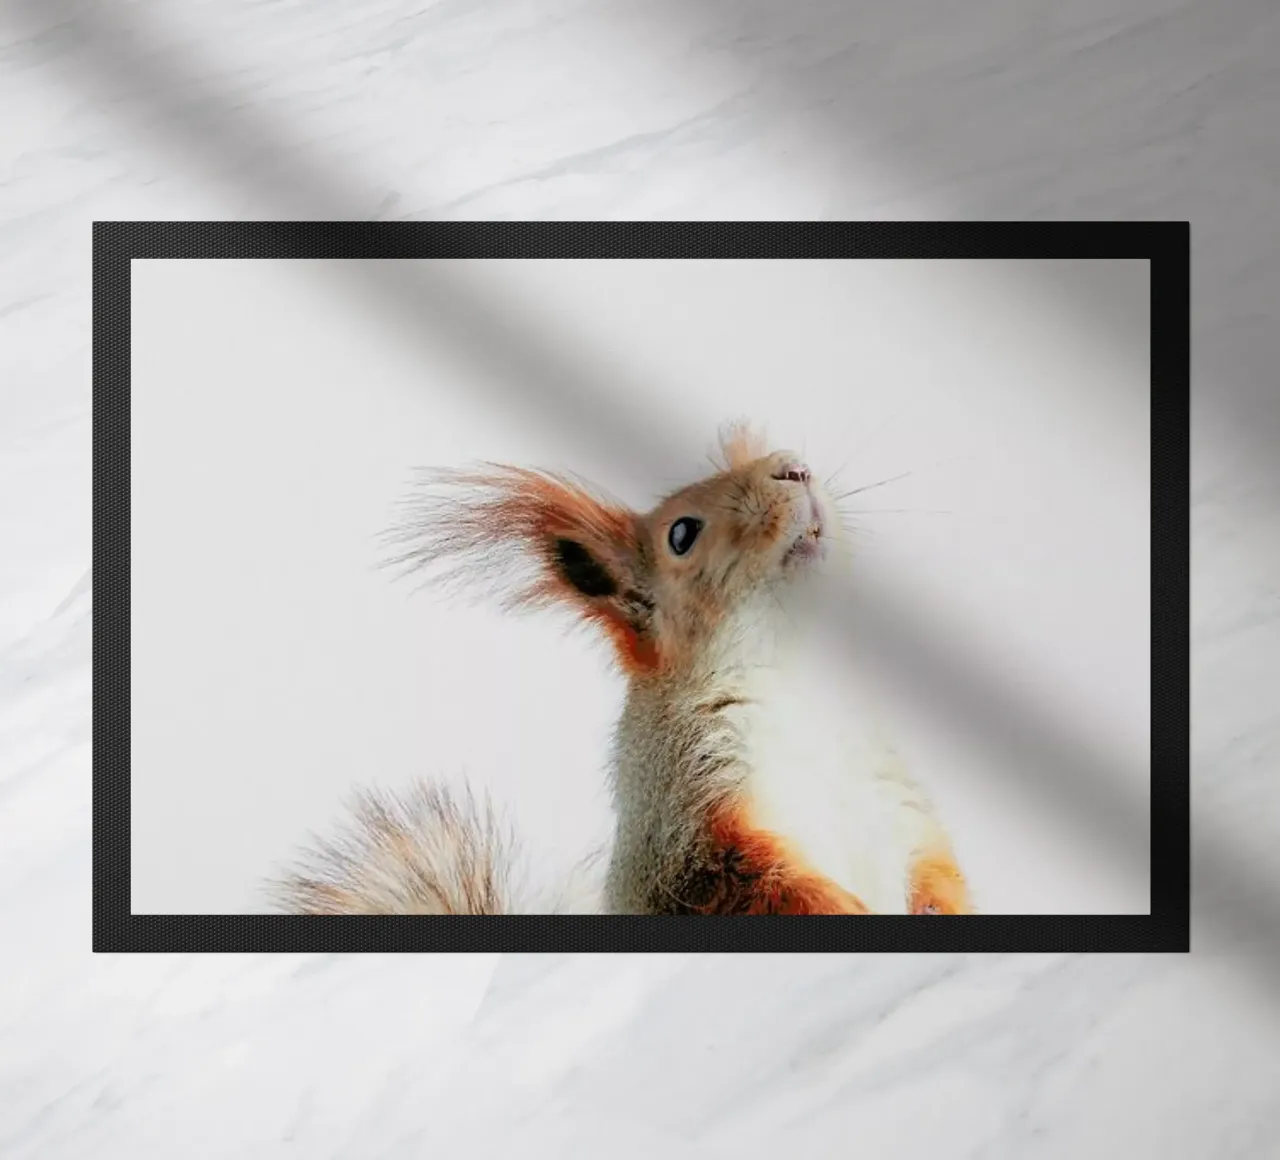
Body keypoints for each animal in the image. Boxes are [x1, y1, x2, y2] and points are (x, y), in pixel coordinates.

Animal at [268, 422, 973, 916]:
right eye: (682, 534)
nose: (794, 468)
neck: (800, 677)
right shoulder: (686, 814)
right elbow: (752, 884)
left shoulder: (894, 795)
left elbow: (937, 869)